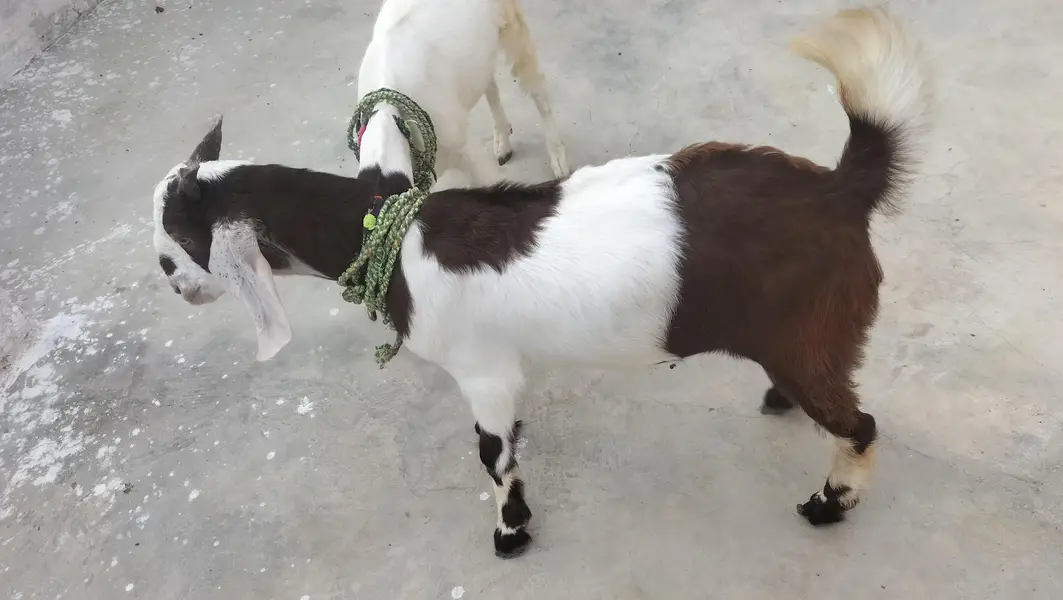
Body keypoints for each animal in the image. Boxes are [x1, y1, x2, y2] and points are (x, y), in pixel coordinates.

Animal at [355, 0, 569, 198]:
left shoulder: (465, 149)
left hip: (512, 27)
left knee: (536, 86)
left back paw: (558, 157)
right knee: (490, 84)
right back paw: (503, 142)